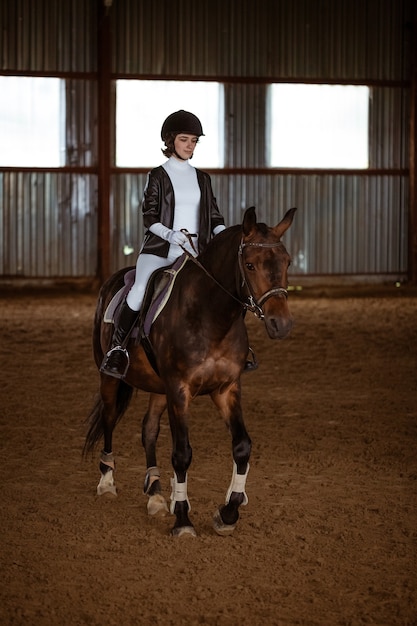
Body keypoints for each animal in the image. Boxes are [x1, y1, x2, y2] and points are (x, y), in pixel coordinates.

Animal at [83, 206, 294, 536]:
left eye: (287, 262)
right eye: (250, 265)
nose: (280, 324)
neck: (210, 316)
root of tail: (113, 280)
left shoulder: (226, 389)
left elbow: (242, 446)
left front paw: (228, 513)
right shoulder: (179, 390)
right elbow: (182, 453)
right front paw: (182, 519)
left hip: (159, 388)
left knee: (148, 430)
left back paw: (156, 494)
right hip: (110, 378)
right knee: (108, 417)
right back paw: (107, 481)